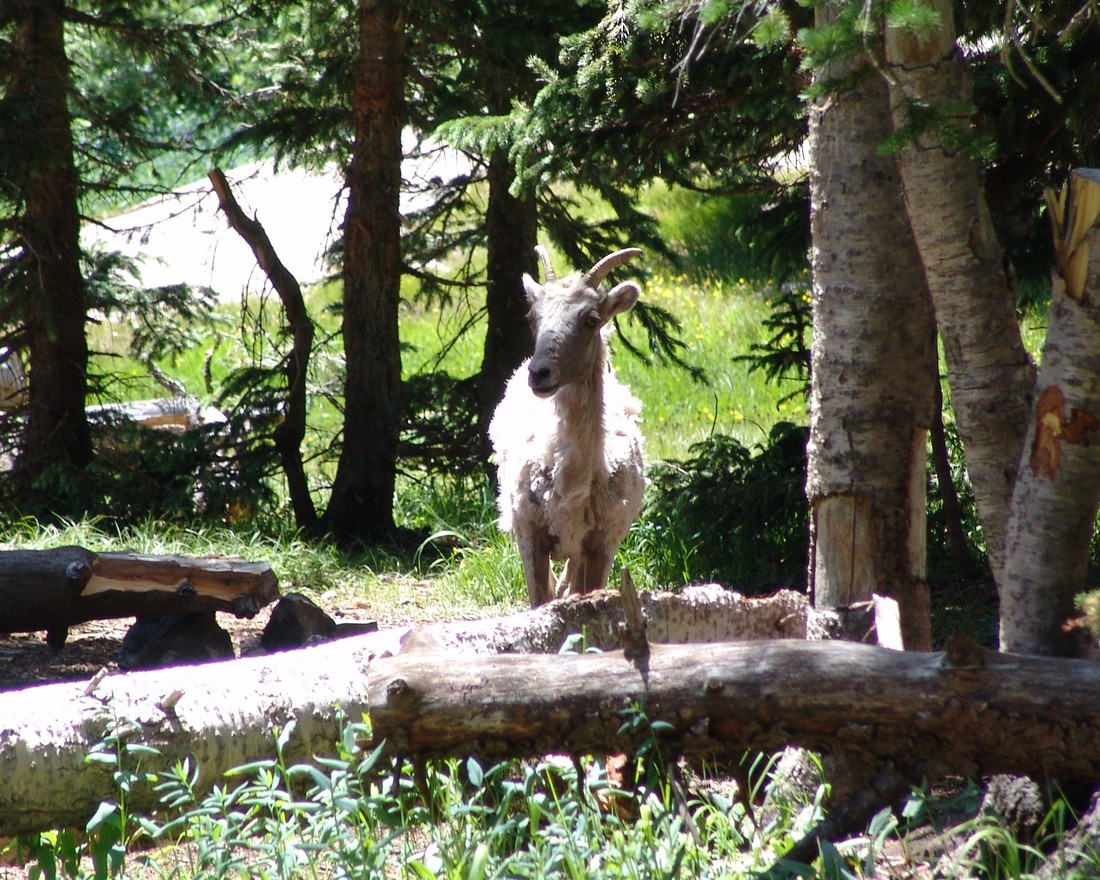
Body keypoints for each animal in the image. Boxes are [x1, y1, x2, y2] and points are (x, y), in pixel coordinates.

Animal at [489, 245, 646, 607]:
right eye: (532, 318)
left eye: (591, 320)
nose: (539, 373)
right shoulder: (530, 534)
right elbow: (539, 600)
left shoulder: (602, 542)